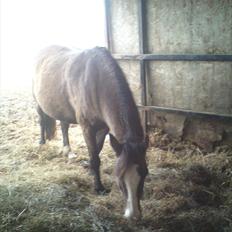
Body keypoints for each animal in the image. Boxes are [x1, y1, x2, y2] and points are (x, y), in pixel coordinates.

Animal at [32, 45, 149, 219]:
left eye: (145, 173)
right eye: (119, 178)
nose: (133, 214)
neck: (97, 82)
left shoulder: (103, 128)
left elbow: (97, 151)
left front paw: (90, 171)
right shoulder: (87, 127)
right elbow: (95, 157)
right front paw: (99, 187)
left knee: (64, 126)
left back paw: (67, 151)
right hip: (38, 102)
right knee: (41, 120)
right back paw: (41, 142)